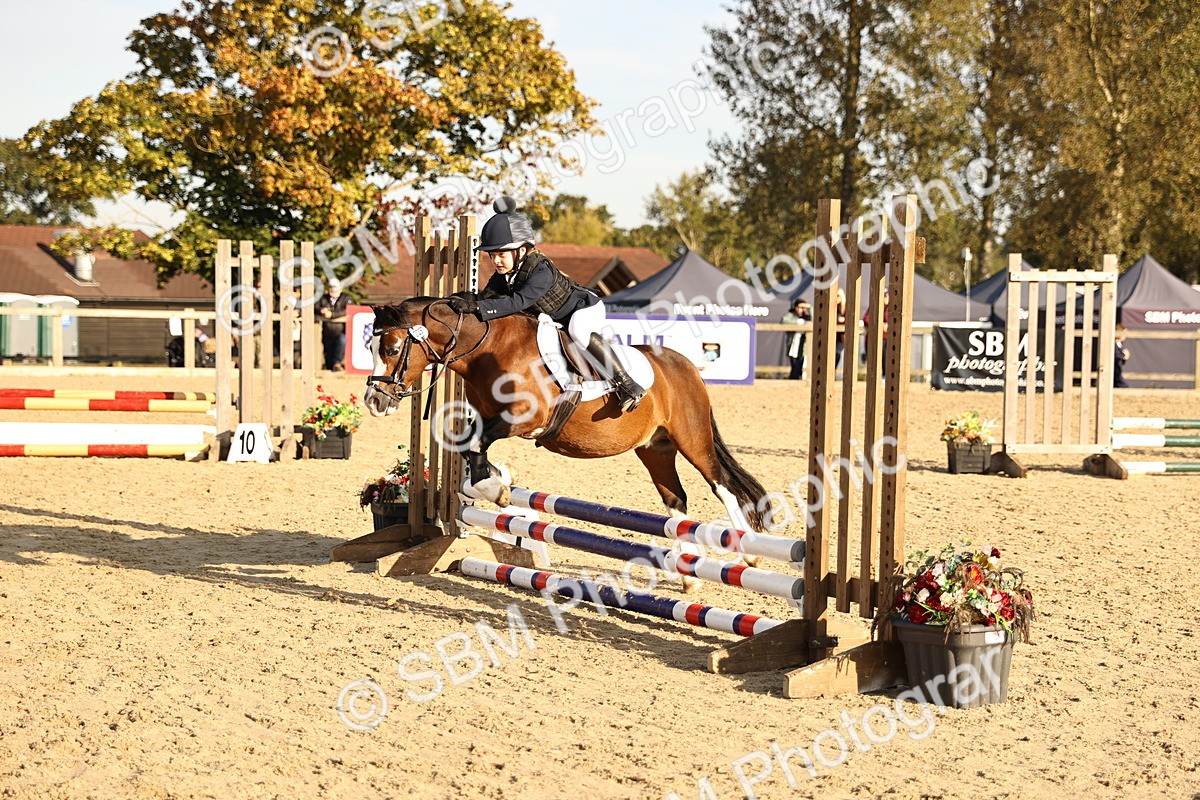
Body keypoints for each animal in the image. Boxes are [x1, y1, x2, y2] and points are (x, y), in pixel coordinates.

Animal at [363, 298, 770, 536]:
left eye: (392, 348)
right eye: (369, 345)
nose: (373, 401)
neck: (489, 349)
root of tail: (684, 365)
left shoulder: (525, 419)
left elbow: (477, 447)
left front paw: (497, 487)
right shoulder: (485, 417)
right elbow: (472, 450)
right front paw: (500, 485)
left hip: (691, 438)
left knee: (721, 485)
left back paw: (743, 551)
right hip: (655, 448)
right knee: (676, 499)